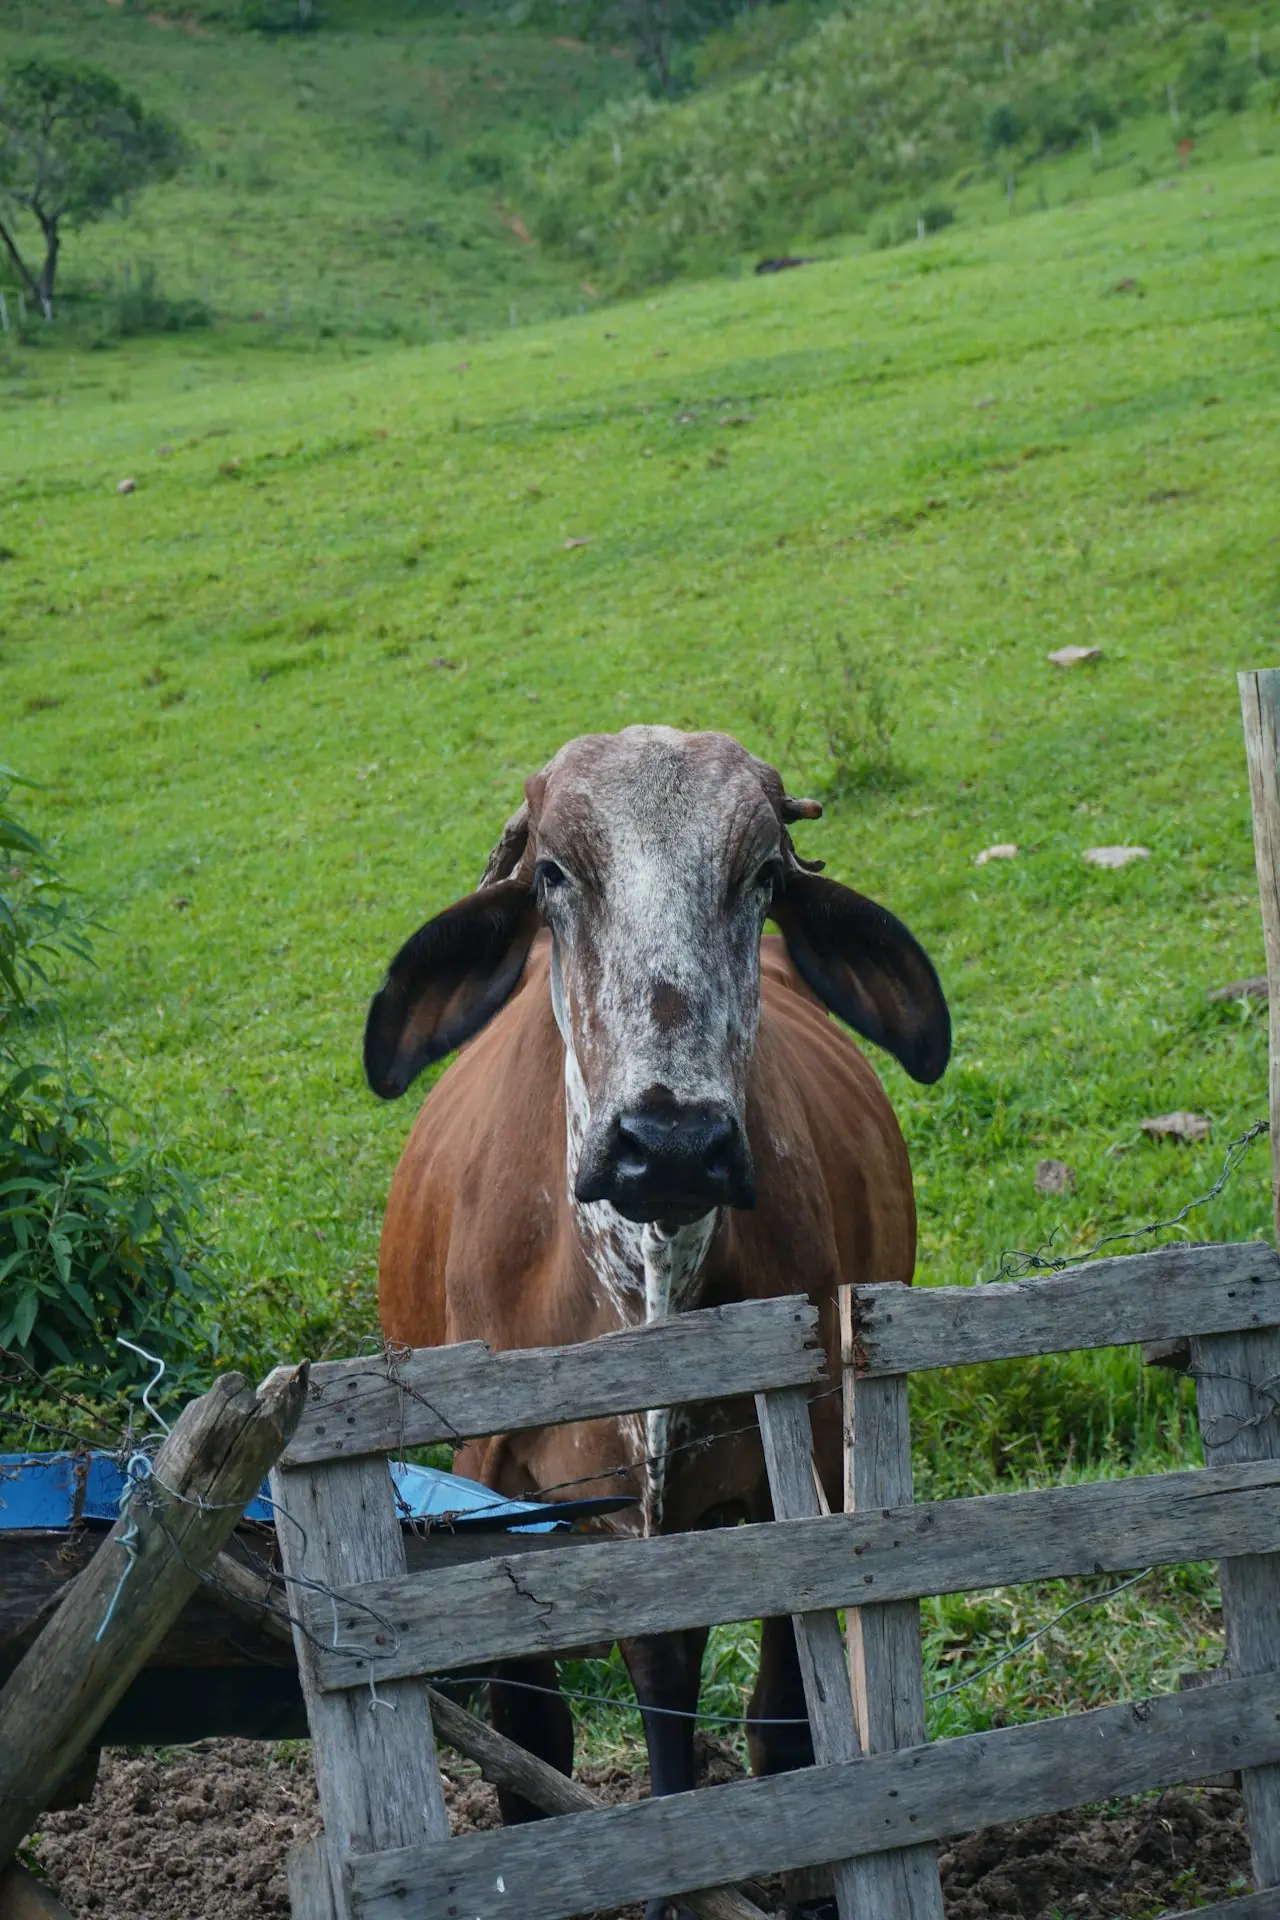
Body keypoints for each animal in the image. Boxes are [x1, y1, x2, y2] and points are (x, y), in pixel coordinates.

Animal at [365, 725, 949, 1919]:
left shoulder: (797, 1471)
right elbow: (532, 1747)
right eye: (551, 873)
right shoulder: (501, 1497)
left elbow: (784, 1723)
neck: (645, 1290)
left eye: (763, 874)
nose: (670, 1144)